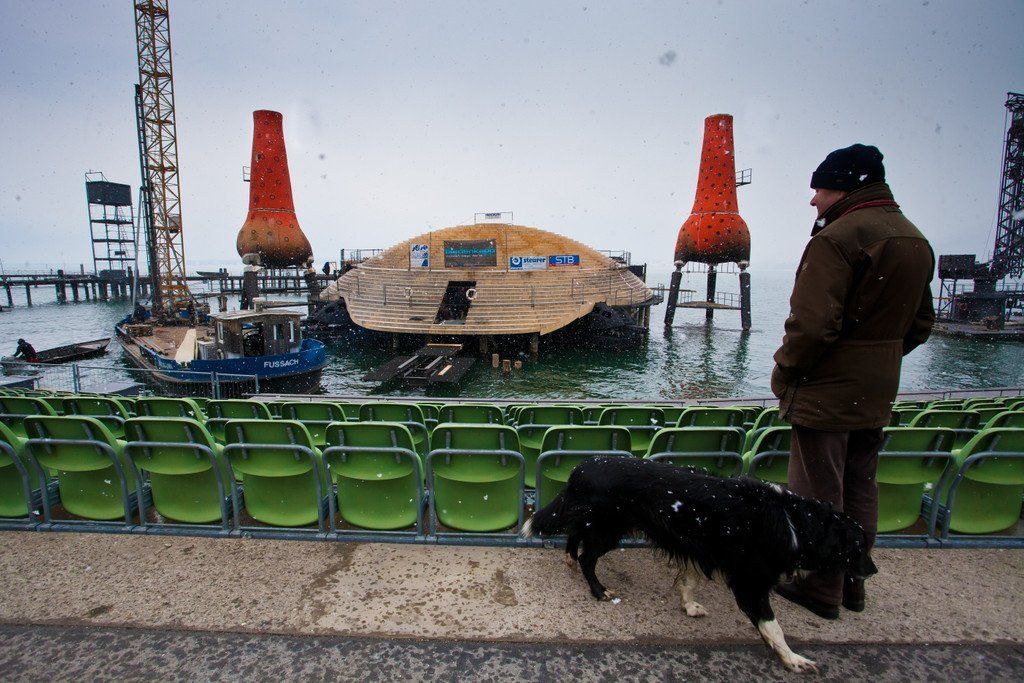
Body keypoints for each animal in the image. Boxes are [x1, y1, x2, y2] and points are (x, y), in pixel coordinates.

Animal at [522, 457, 877, 673]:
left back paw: (571, 560)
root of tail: (582, 467)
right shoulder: (749, 581)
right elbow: (772, 625)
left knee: (574, 534)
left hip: (600, 524)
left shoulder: (700, 550)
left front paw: (689, 605)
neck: (792, 521)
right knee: (587, 555)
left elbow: (689, 581)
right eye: (859, 547)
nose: (872, 571)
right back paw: (598, 590)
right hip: (610, 528)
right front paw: (792, 658)